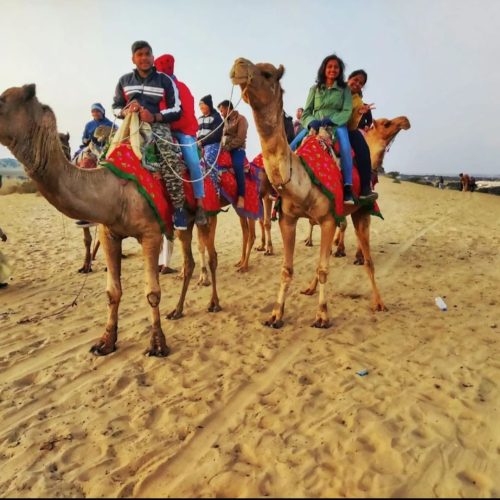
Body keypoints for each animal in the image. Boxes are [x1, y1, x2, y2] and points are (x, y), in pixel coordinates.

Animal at [0, 83, 223, 356]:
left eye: (1, 101)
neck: (114, 190)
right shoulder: (109, 233)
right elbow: (112, 291)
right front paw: (106, 341)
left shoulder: (150, 234)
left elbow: (152, 292)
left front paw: (157, 344)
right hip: (184, 225)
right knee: (188, 261)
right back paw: (177, 311)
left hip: (208, 214)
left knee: (211, 255)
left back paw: (214, 303)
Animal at [230, 58, 386, 328]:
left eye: (267, 73)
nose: (238, 64)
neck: (301, 183)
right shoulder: (288, 219)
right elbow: (287, 269)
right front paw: (276, 314)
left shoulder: (328, 219)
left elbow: (324, 268)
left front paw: (322, 315)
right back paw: (310, 288)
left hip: (362, 211)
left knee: (367, 259)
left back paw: (378, 302)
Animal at [302, 116, 412, 262]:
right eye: (386, 123)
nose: (405, 120)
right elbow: (344, 224)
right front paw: (339, 250)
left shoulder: (360, 201)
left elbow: (357, 227)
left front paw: (358, 255)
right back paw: (308, 241)